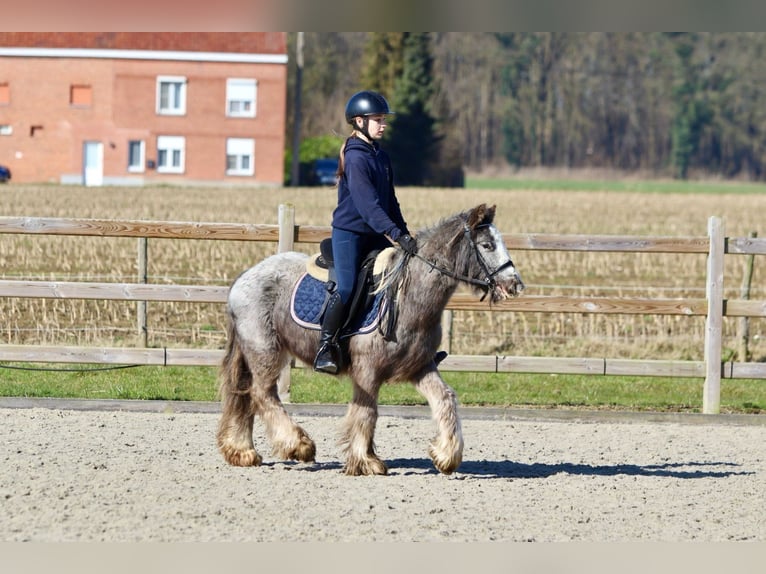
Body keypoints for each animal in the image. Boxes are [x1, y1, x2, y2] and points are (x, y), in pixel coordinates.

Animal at [219, 202, 524, 476]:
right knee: (262, 394)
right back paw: (299, 445)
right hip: (265, 350)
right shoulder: (367, 371)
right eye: (487, 245)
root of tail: (243, 278)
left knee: (245, 395)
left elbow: (445, 398)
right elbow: (366, 412)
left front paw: (446, 456)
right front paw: (365, 461)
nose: (515, 285)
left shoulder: (420, 366)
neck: (409, 296)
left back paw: (243, 452)